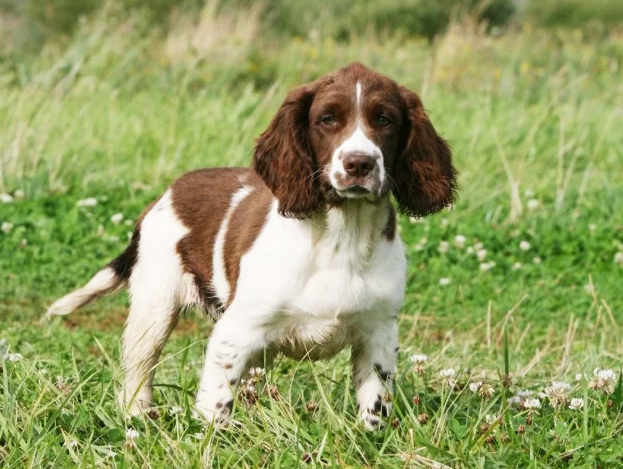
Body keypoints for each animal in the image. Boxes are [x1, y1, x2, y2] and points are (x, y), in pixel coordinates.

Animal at [47, 64, 458, 430]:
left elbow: (374, 405)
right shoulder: (236, 331)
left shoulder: (379, 333)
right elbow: (215, 405)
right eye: (327, 119)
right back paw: (137, 418)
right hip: (154, 306)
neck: (343, 236)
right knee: (139, 369)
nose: (359, 163)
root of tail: (165, 194)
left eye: (385, 120)